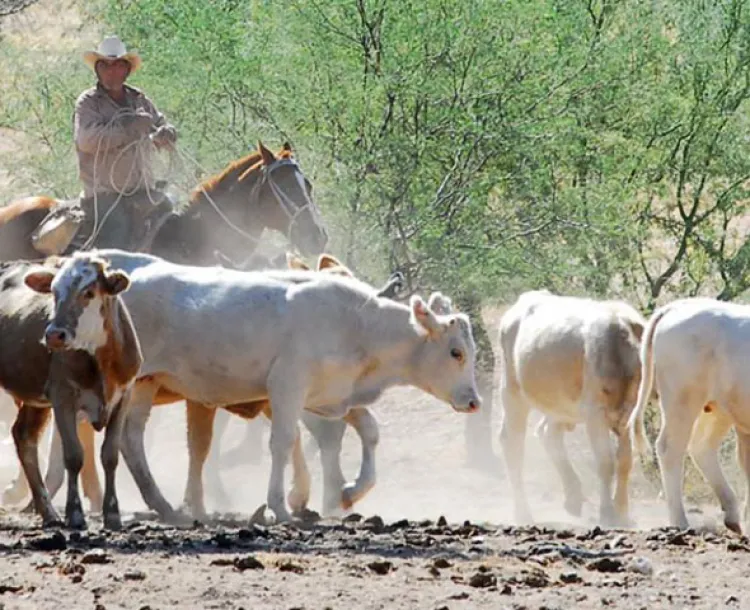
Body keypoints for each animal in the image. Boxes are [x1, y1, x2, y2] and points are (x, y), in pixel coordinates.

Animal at [85, 249, 482, 520]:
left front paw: (349, 491)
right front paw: (281, 505)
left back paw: (164, 505)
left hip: (147, 382)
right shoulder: (288, 387)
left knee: (132, 439)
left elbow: (368, 431)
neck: (358, 325)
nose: (474, 401)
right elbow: (283, 442)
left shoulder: (329, 395)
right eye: (456, 352)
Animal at [500, 288, 648, 524]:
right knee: (512, 444)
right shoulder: (595, 414)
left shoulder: (627, 414)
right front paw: (607, 512)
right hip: (512, 392)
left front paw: (622, 511)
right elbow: (605, 462)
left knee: (547, 433)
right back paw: (522, 513)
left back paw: (573, 496)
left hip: (559, 405)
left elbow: (624, 461)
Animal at [632, 298, 750, 532]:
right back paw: (680, 522)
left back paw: (732, 516)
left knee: (701, 447)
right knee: (670, 449)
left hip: (718, 409)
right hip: (682, 400)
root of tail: (677, 306)